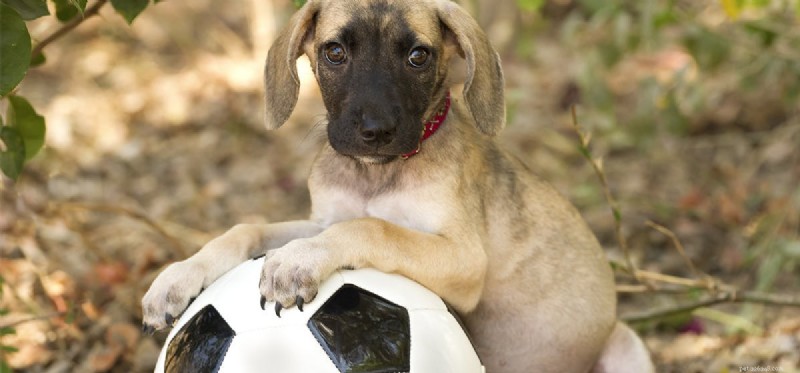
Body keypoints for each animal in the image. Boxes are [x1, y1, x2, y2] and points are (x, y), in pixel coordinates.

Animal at [142, 1, 656, 370]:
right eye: (334, 52)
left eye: (417, 56)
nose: (376, 131)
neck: (377, 174)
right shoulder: (323, 219)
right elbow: (246, 230)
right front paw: (178, 277)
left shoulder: (464, 259)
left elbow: (375, 228)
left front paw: (298, 263)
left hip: (626, 345)